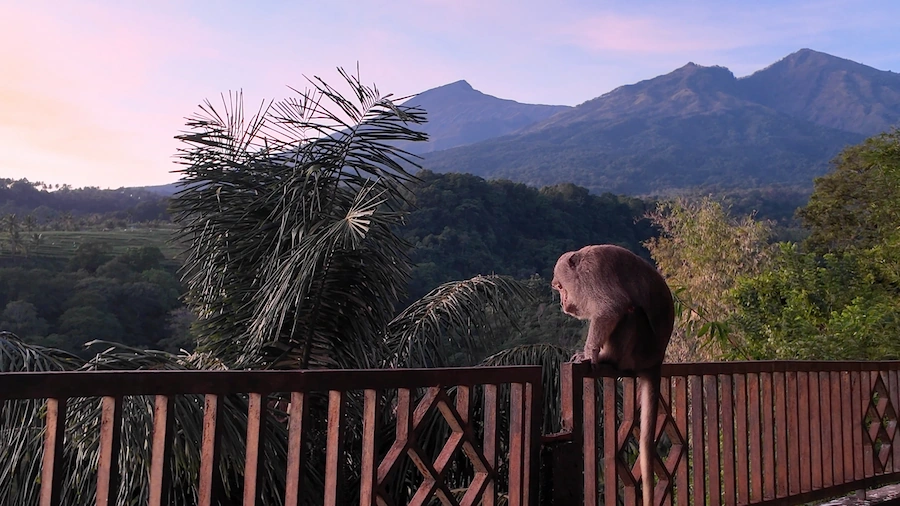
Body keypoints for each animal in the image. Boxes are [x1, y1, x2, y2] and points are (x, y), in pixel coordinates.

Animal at [551, 244, 674, 506]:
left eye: (560, 287)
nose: (562, 302)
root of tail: (657, 358)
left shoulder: (592, 274)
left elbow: (610, 308)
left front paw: (589, 354)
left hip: (640, 350)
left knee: (629, 311)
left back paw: (609, 358)